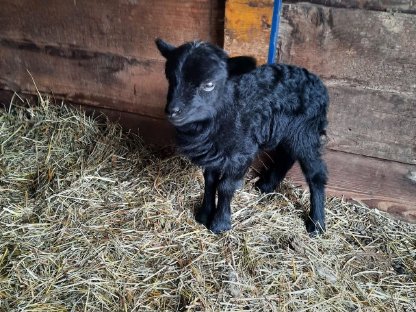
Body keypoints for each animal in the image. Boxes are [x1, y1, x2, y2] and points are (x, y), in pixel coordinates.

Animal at [155, 38, 328, 234]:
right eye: (170, 78)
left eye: (209, 84)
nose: (173, 111)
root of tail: (318, 83)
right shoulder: (214, 152)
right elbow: (210, 182)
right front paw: (204, 215)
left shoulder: (242, 151)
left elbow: (225, 186)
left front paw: (220, 224)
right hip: (290, 131)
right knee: (287, 156)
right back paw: (266, 186)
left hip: (305, 130)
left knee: (316, 172)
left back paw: (316, 223)